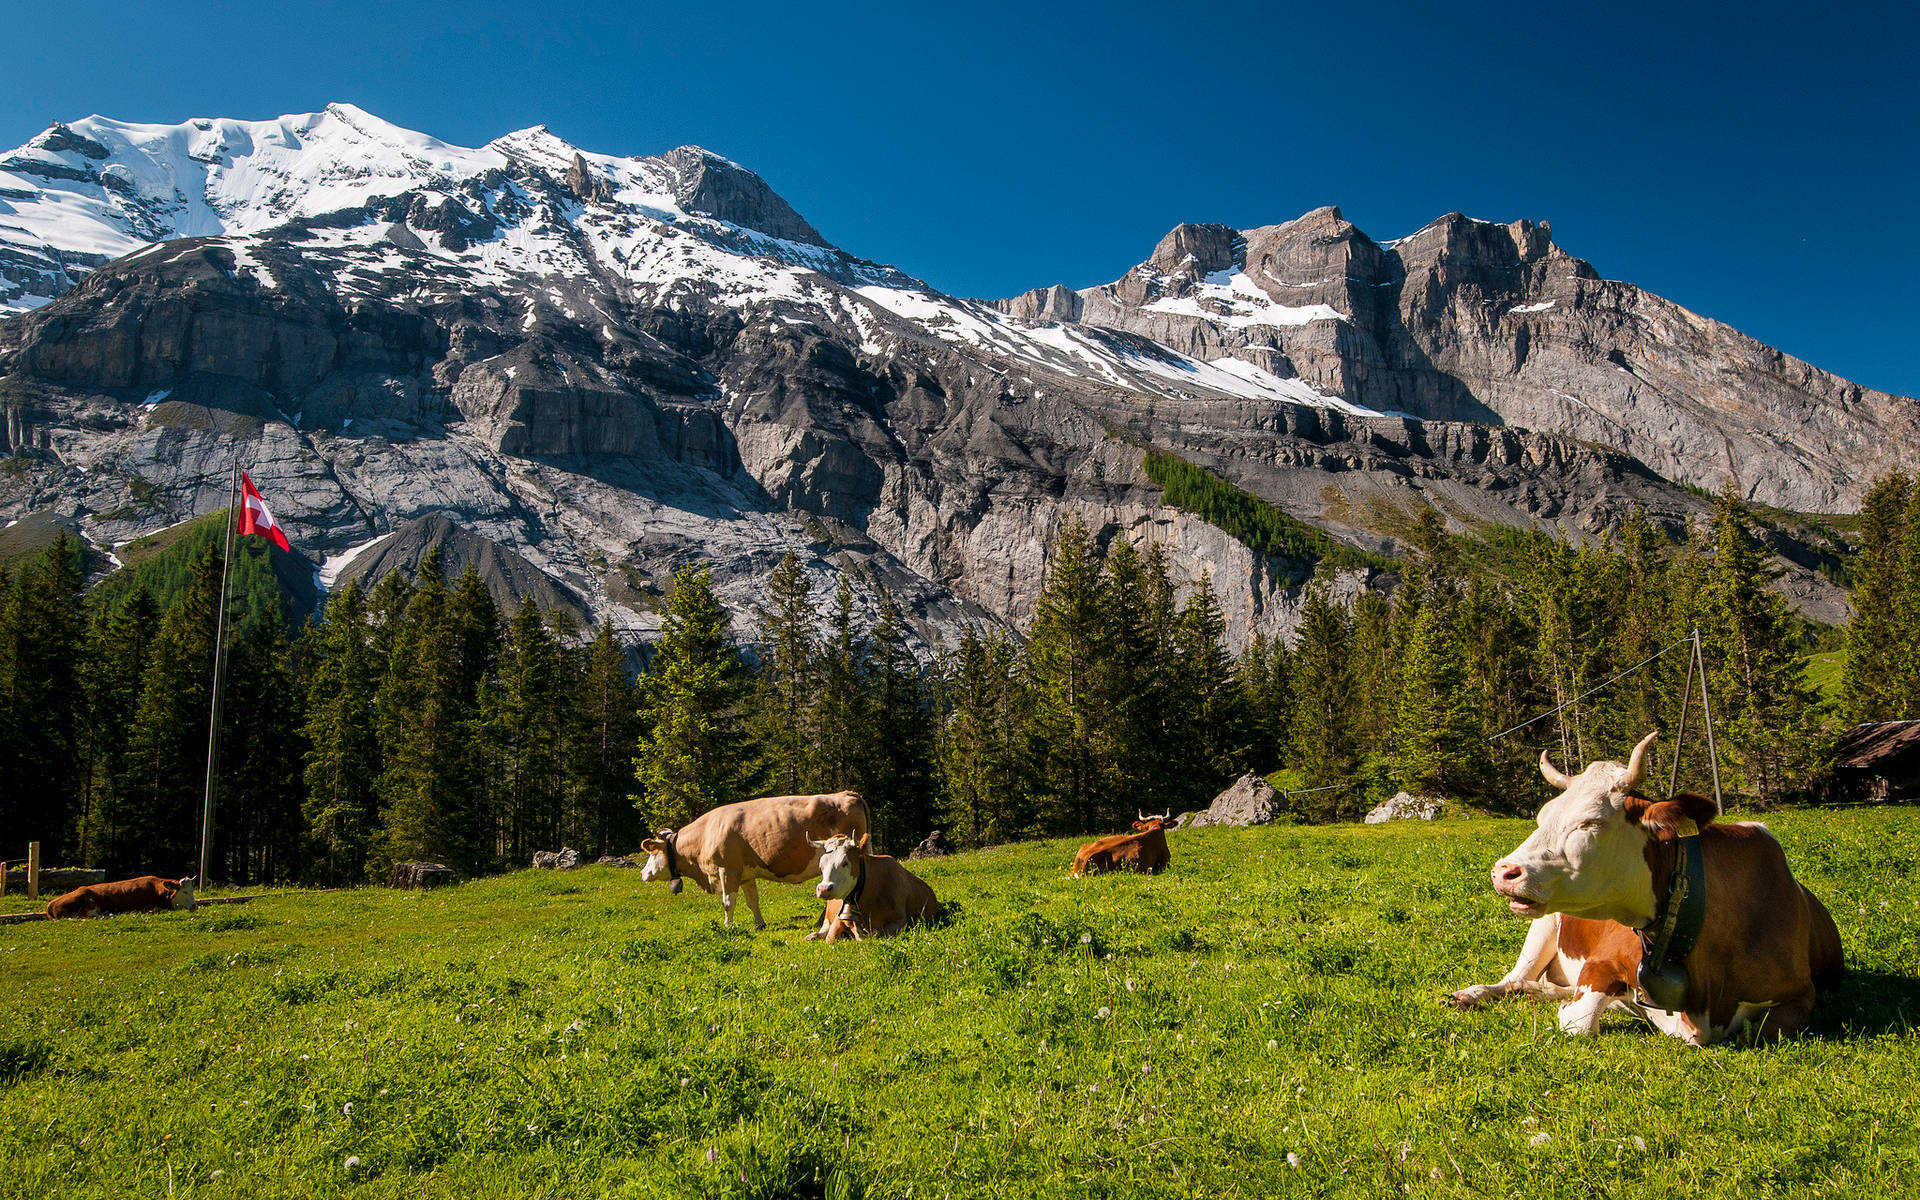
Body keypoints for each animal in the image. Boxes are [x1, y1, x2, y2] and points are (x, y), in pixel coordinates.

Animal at [637, 791, 871, 933]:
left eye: (652, 853)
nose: (643, 873)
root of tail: (847, 794)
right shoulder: (746, 875)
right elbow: (753, 901)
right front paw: (760, 924)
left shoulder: (727, 870)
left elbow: (728, 902)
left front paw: (728, 926)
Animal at [802, 829, 936, 940]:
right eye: (821, 864)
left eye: (845, 862)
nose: (824, 889)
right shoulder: (838, 919)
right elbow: (830, 937)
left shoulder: (900, 921)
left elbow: (875, 934)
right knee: (823, 930)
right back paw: (811, 936)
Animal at [1451, 729, 1843, 1036]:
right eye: (1542, 816)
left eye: (1590, 823)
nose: (1504, 871)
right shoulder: (1602, 962)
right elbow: (1579, 1022)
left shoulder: (1802, 994)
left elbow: (1763, 1028)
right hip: (1544, 927)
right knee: (1513, 979)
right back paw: (1471, 994)